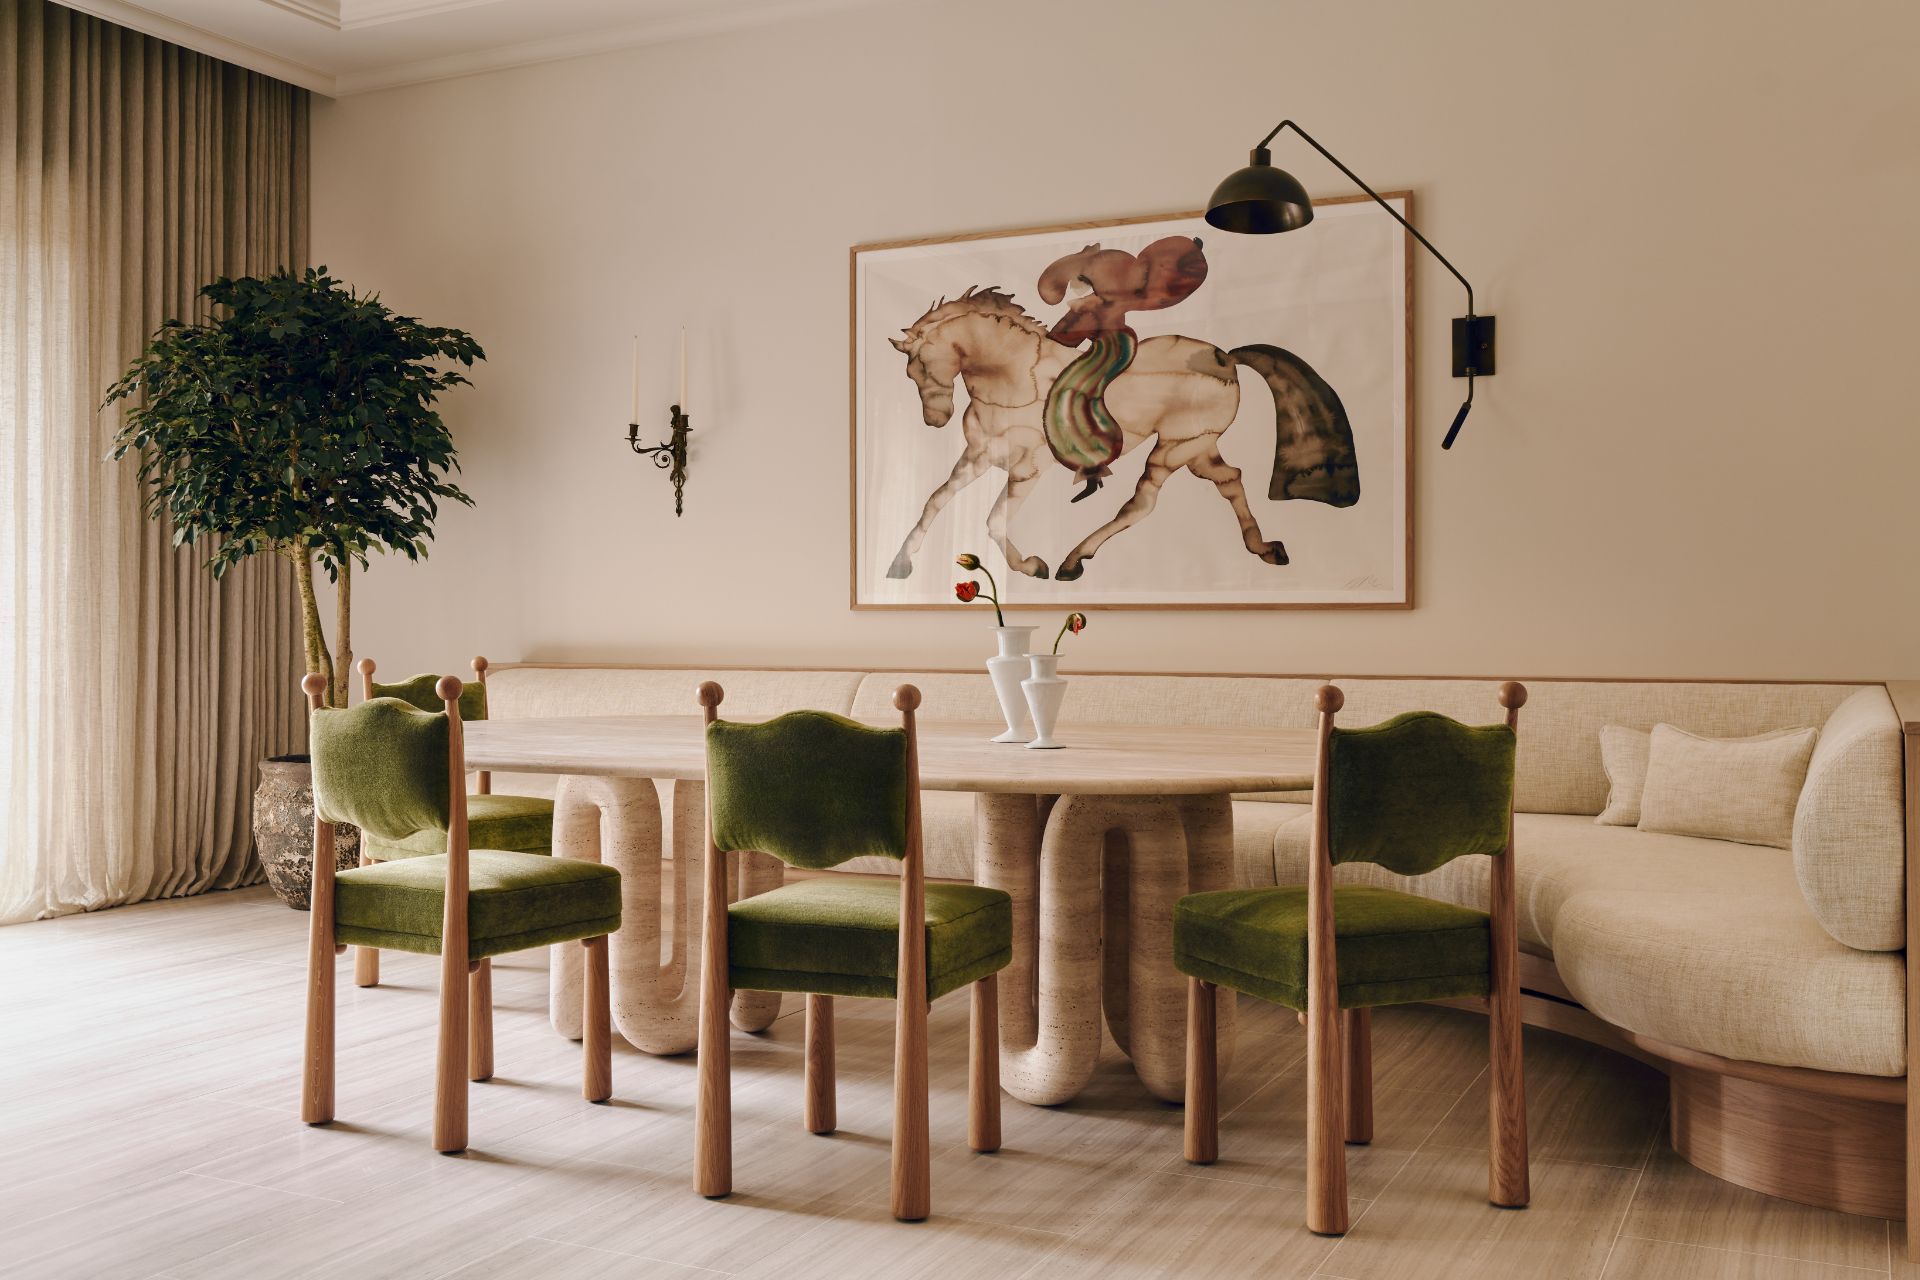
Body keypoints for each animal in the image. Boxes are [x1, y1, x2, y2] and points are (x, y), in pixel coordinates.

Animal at [887, 287, 1359, 583]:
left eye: (922, 365)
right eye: (910, 373)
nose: (936, 419)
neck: (1014, 379)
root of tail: (1224, 357)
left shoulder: (1026, 469)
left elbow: (993, 520)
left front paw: (1032, 566)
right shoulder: (978, 457)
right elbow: (935, 500)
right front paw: (899, 564)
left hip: (1175, 446)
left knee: (1143, 503)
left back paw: (1072, 560)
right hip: (1199, 447)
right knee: (1230, 480)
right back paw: (1262, 547)